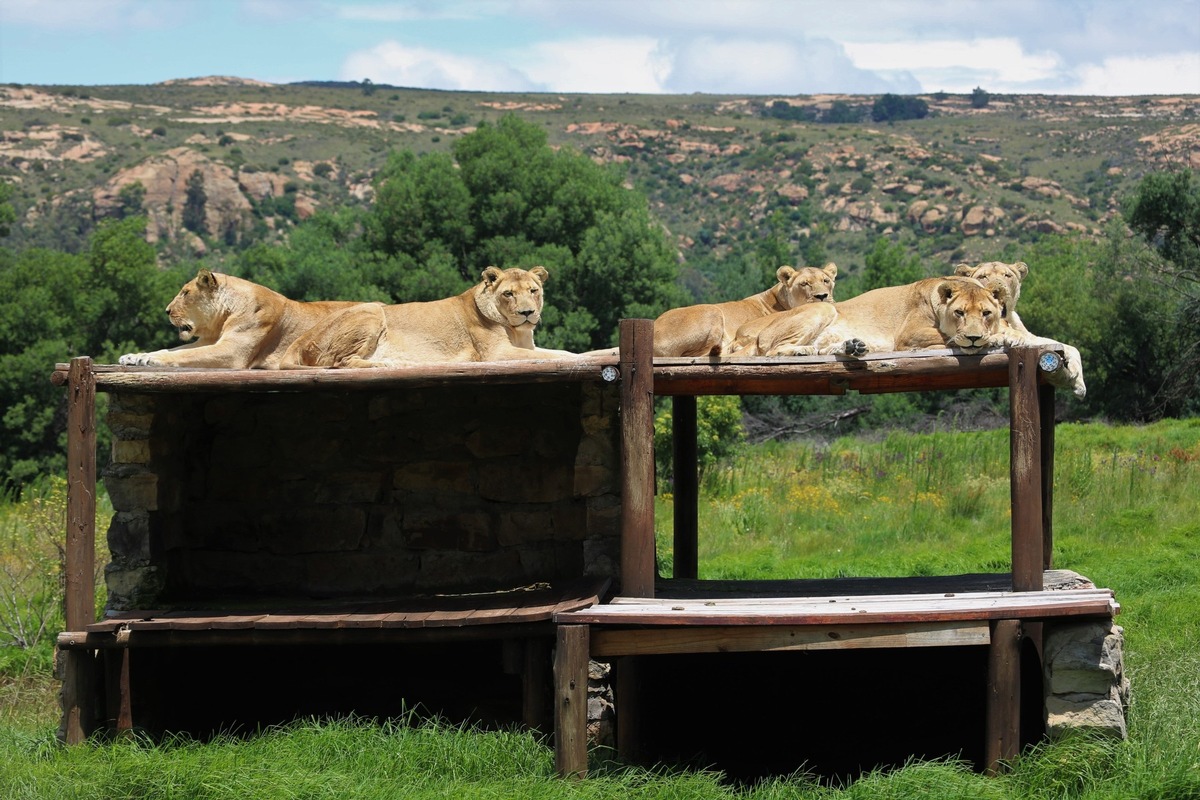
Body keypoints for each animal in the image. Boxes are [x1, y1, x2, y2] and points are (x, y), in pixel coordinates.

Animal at [118, 268, 357, 369]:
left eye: (185, 293)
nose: (167, 311)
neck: (222, 318)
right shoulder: (207, 341)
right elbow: (171, 350)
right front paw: (134, 356)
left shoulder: (232, 351)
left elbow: (184, 355)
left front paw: (150, 360)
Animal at [278, 268, 568, 369]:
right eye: (509, 294)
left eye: (533, 291)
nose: (527, 313)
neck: (518, 330)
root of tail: (301, 339)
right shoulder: (495, 354)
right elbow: (558, 356)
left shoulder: (526, 347)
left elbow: (559, 351)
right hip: (372, 310)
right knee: (339, 363)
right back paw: (388, 365)